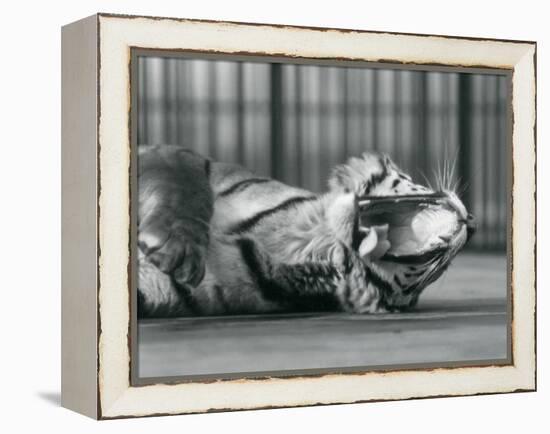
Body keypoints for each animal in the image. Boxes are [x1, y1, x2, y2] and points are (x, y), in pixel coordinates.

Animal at [136, 146, 476, 318]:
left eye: (440, 270)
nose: (473, 223)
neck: (310, 238)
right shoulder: (177, 156)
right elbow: (187, 188)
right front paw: (177, 247)